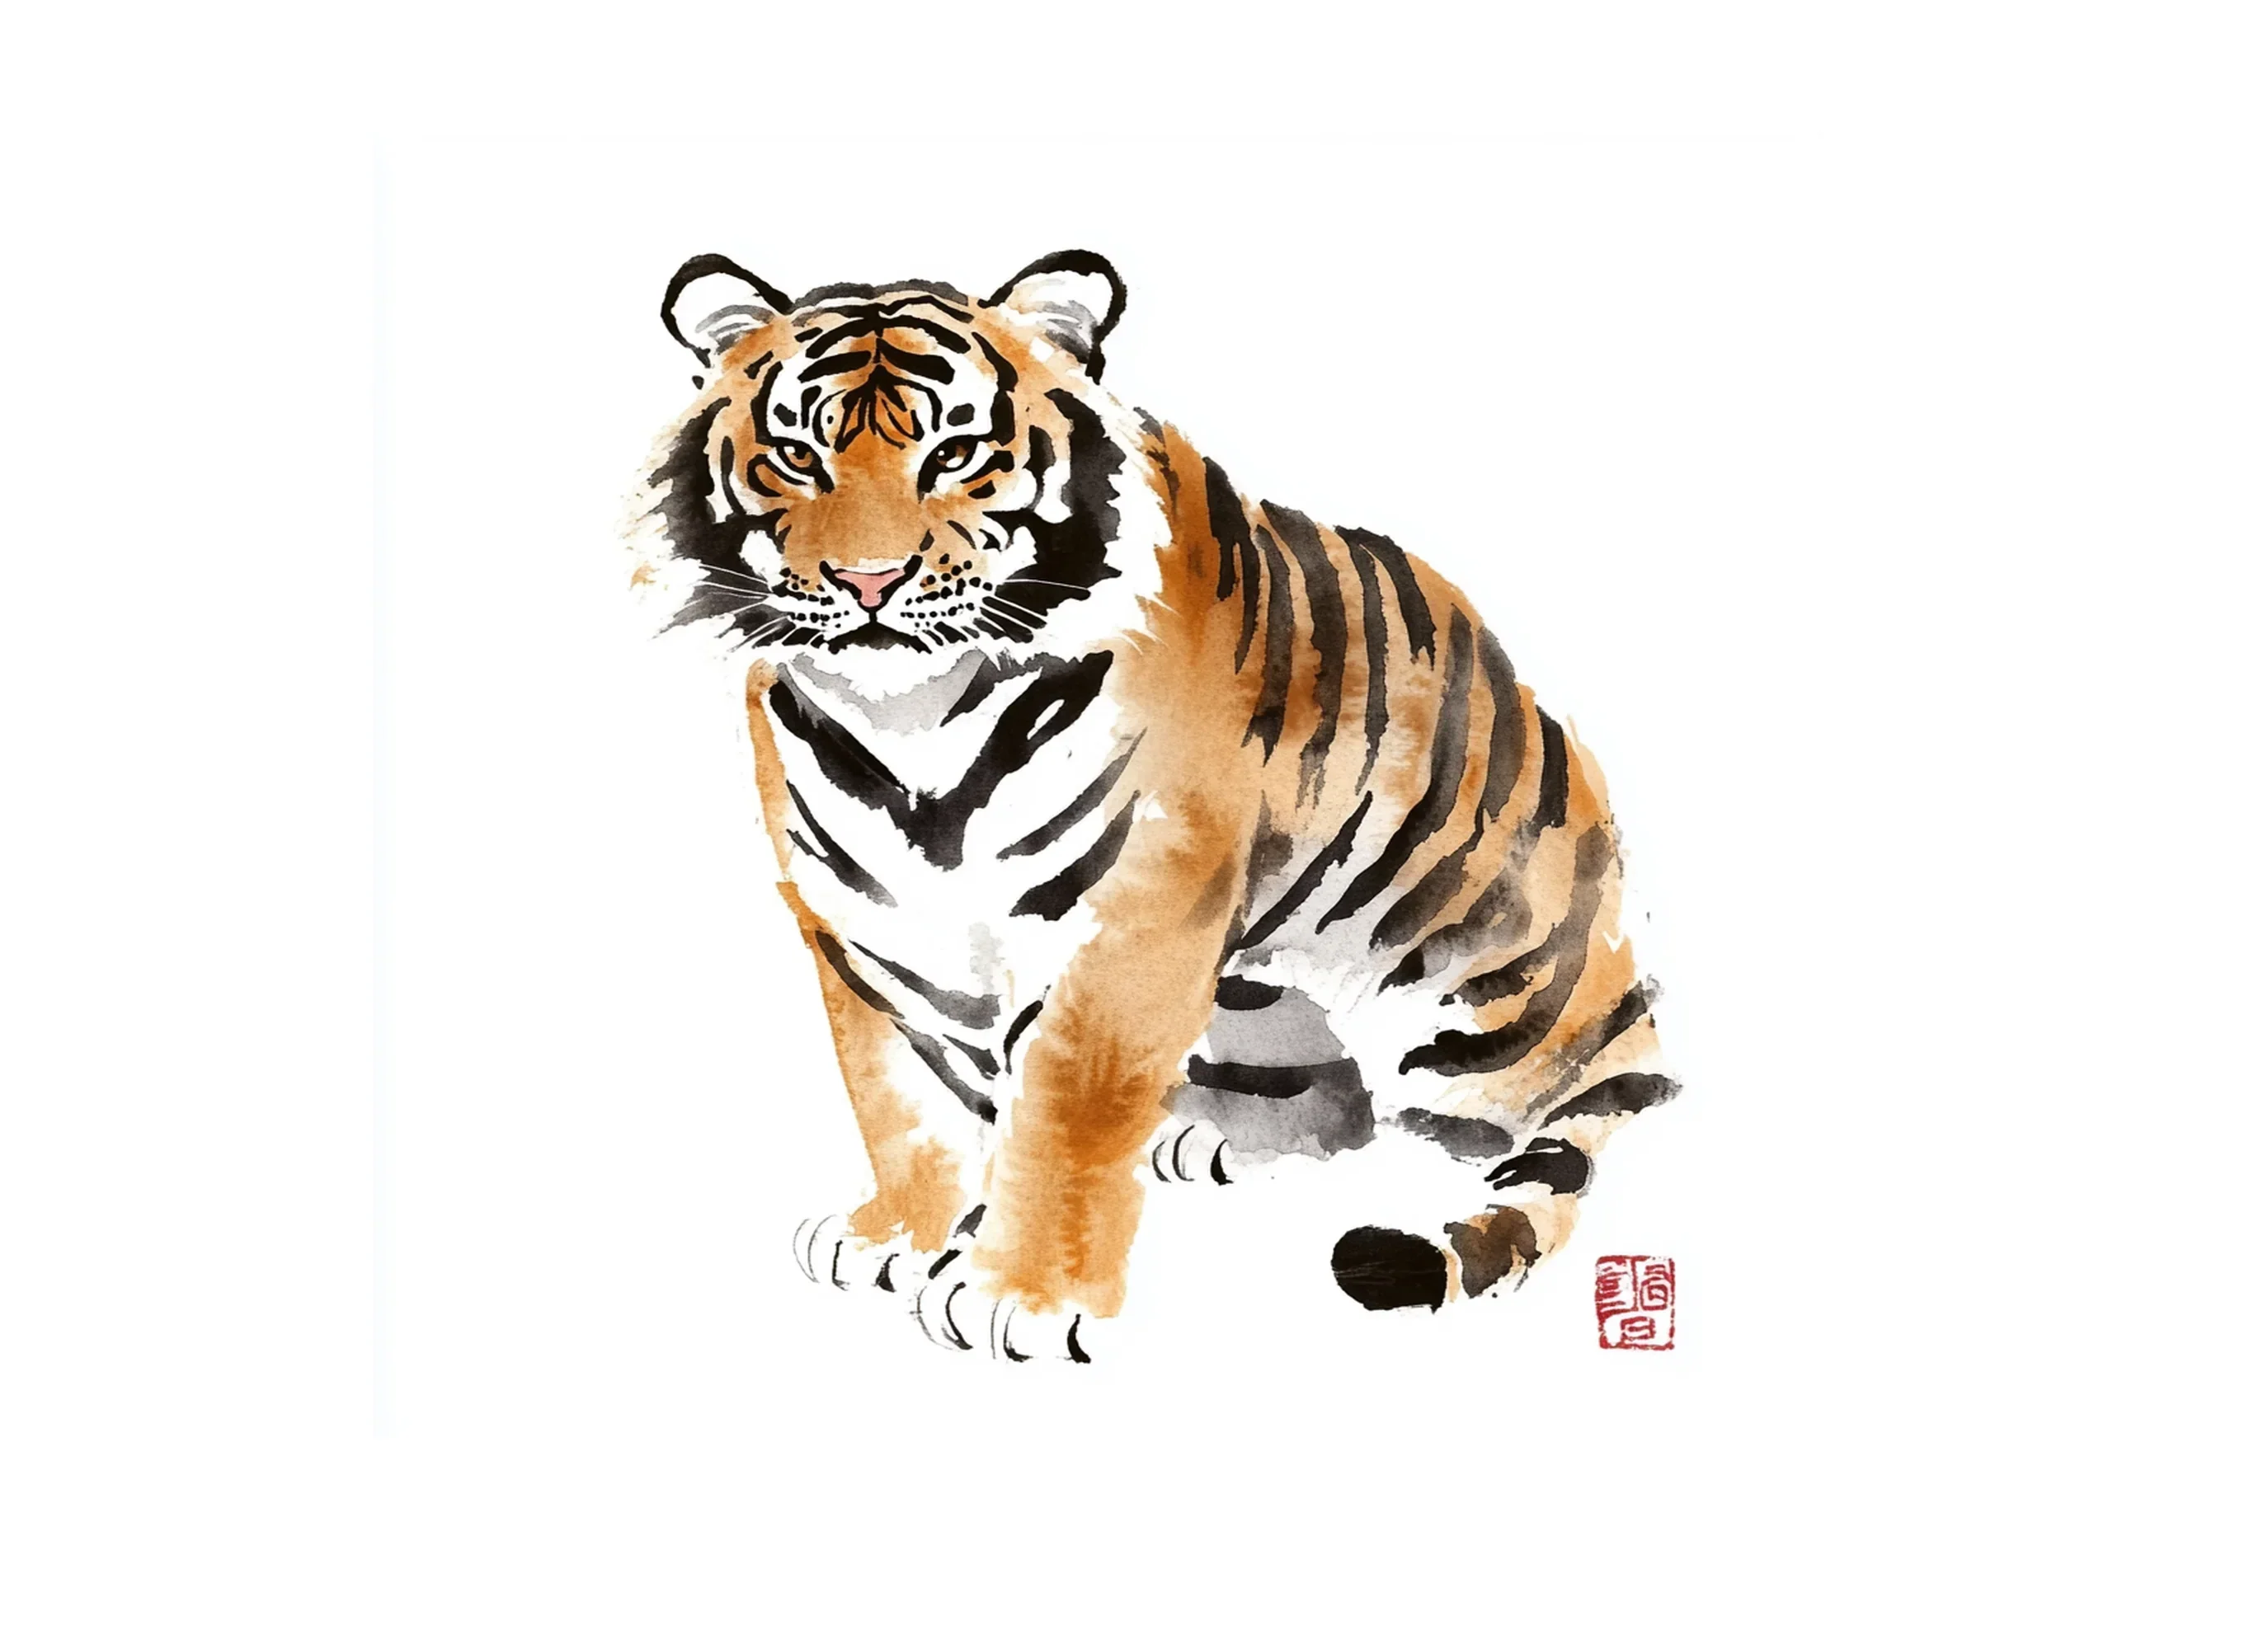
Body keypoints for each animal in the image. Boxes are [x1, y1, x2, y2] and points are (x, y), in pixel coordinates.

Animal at [626, 249, 1676, 1361]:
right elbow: (897, 1094)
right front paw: (907, 1232)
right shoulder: (865, 922)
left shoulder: (1132, 917)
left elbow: (1065, 1106)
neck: (912, 720)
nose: (867, 580)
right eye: (796, 454)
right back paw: (1201, 1138)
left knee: (1554, 1116)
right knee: (1339, 1104)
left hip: (1477, 1006)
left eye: (954, 452)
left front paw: (1017, 1293)